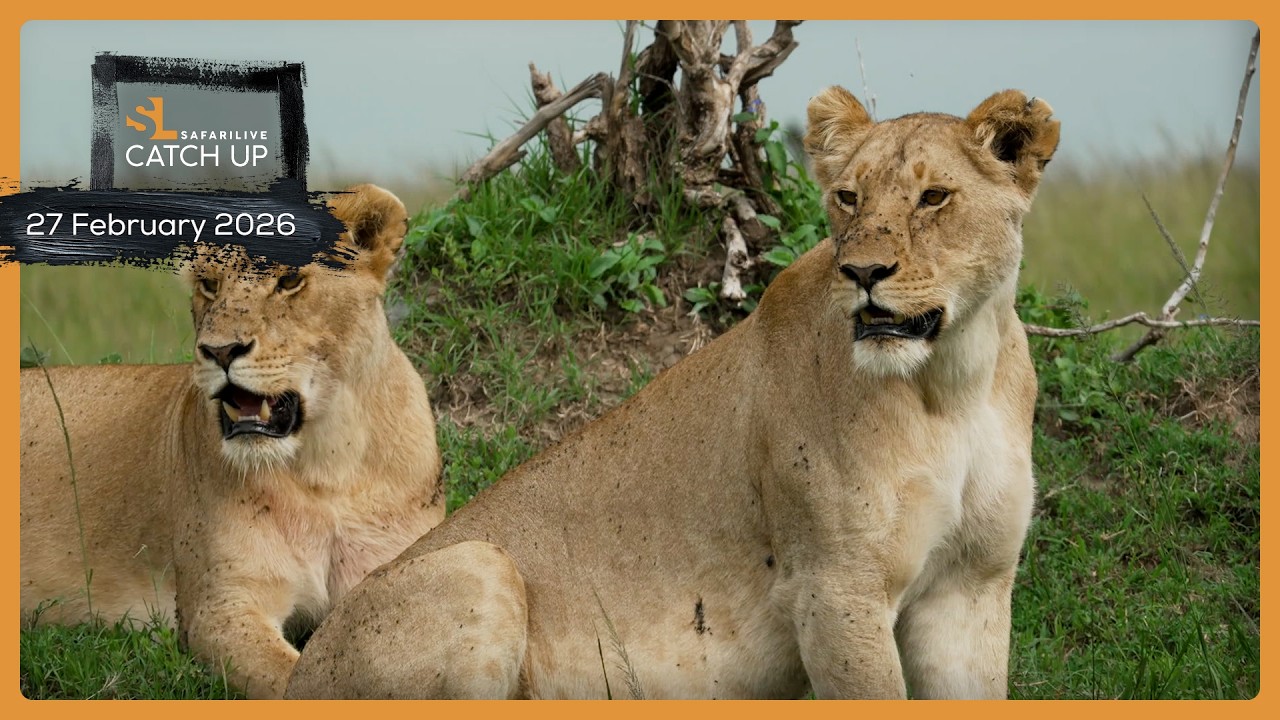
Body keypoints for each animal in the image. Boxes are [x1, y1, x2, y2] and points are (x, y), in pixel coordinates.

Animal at [20, 184, 445, 699]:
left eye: (289, 280)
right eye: (209, 284)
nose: (219, 351)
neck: (326, 465)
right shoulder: (221, 607)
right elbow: (296, 682)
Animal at [286, 88, 1059, 700]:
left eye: (935, 198)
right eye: (848, 197)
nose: (863, 273)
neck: (952, 381)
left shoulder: (971, 588)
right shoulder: (836, 587)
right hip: (477, 564)